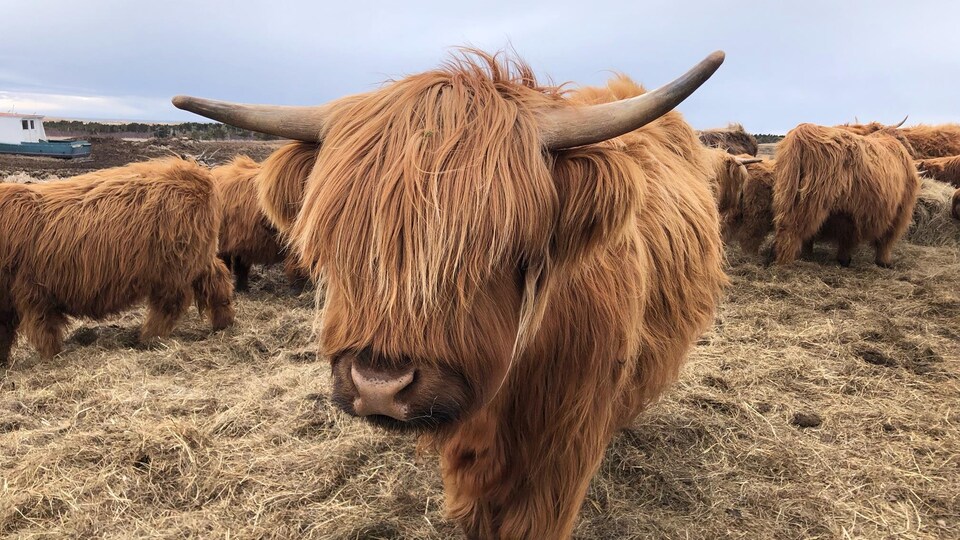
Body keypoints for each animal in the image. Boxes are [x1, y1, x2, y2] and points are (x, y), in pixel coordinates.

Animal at [0, 158, 235, 364]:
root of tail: (195, 174)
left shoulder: (33, 293)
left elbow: (43, 331)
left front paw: (51, 358)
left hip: (174, 270)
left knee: (170, 305)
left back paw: (147, 339)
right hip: (198, 259)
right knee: (217, 281)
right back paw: (223, 325)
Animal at [772, 124, 921, 267]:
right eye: (903, 138)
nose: (914, 153)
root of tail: (802, 132)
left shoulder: (849, 213)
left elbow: (847, 237)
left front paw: (843, 260)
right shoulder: (899, 211)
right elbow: (885, 240)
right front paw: (884, 262)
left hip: (788, 192)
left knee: (790, 228)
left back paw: (803, 256)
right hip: (811, 200)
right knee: (792, 229)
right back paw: (787, 263)